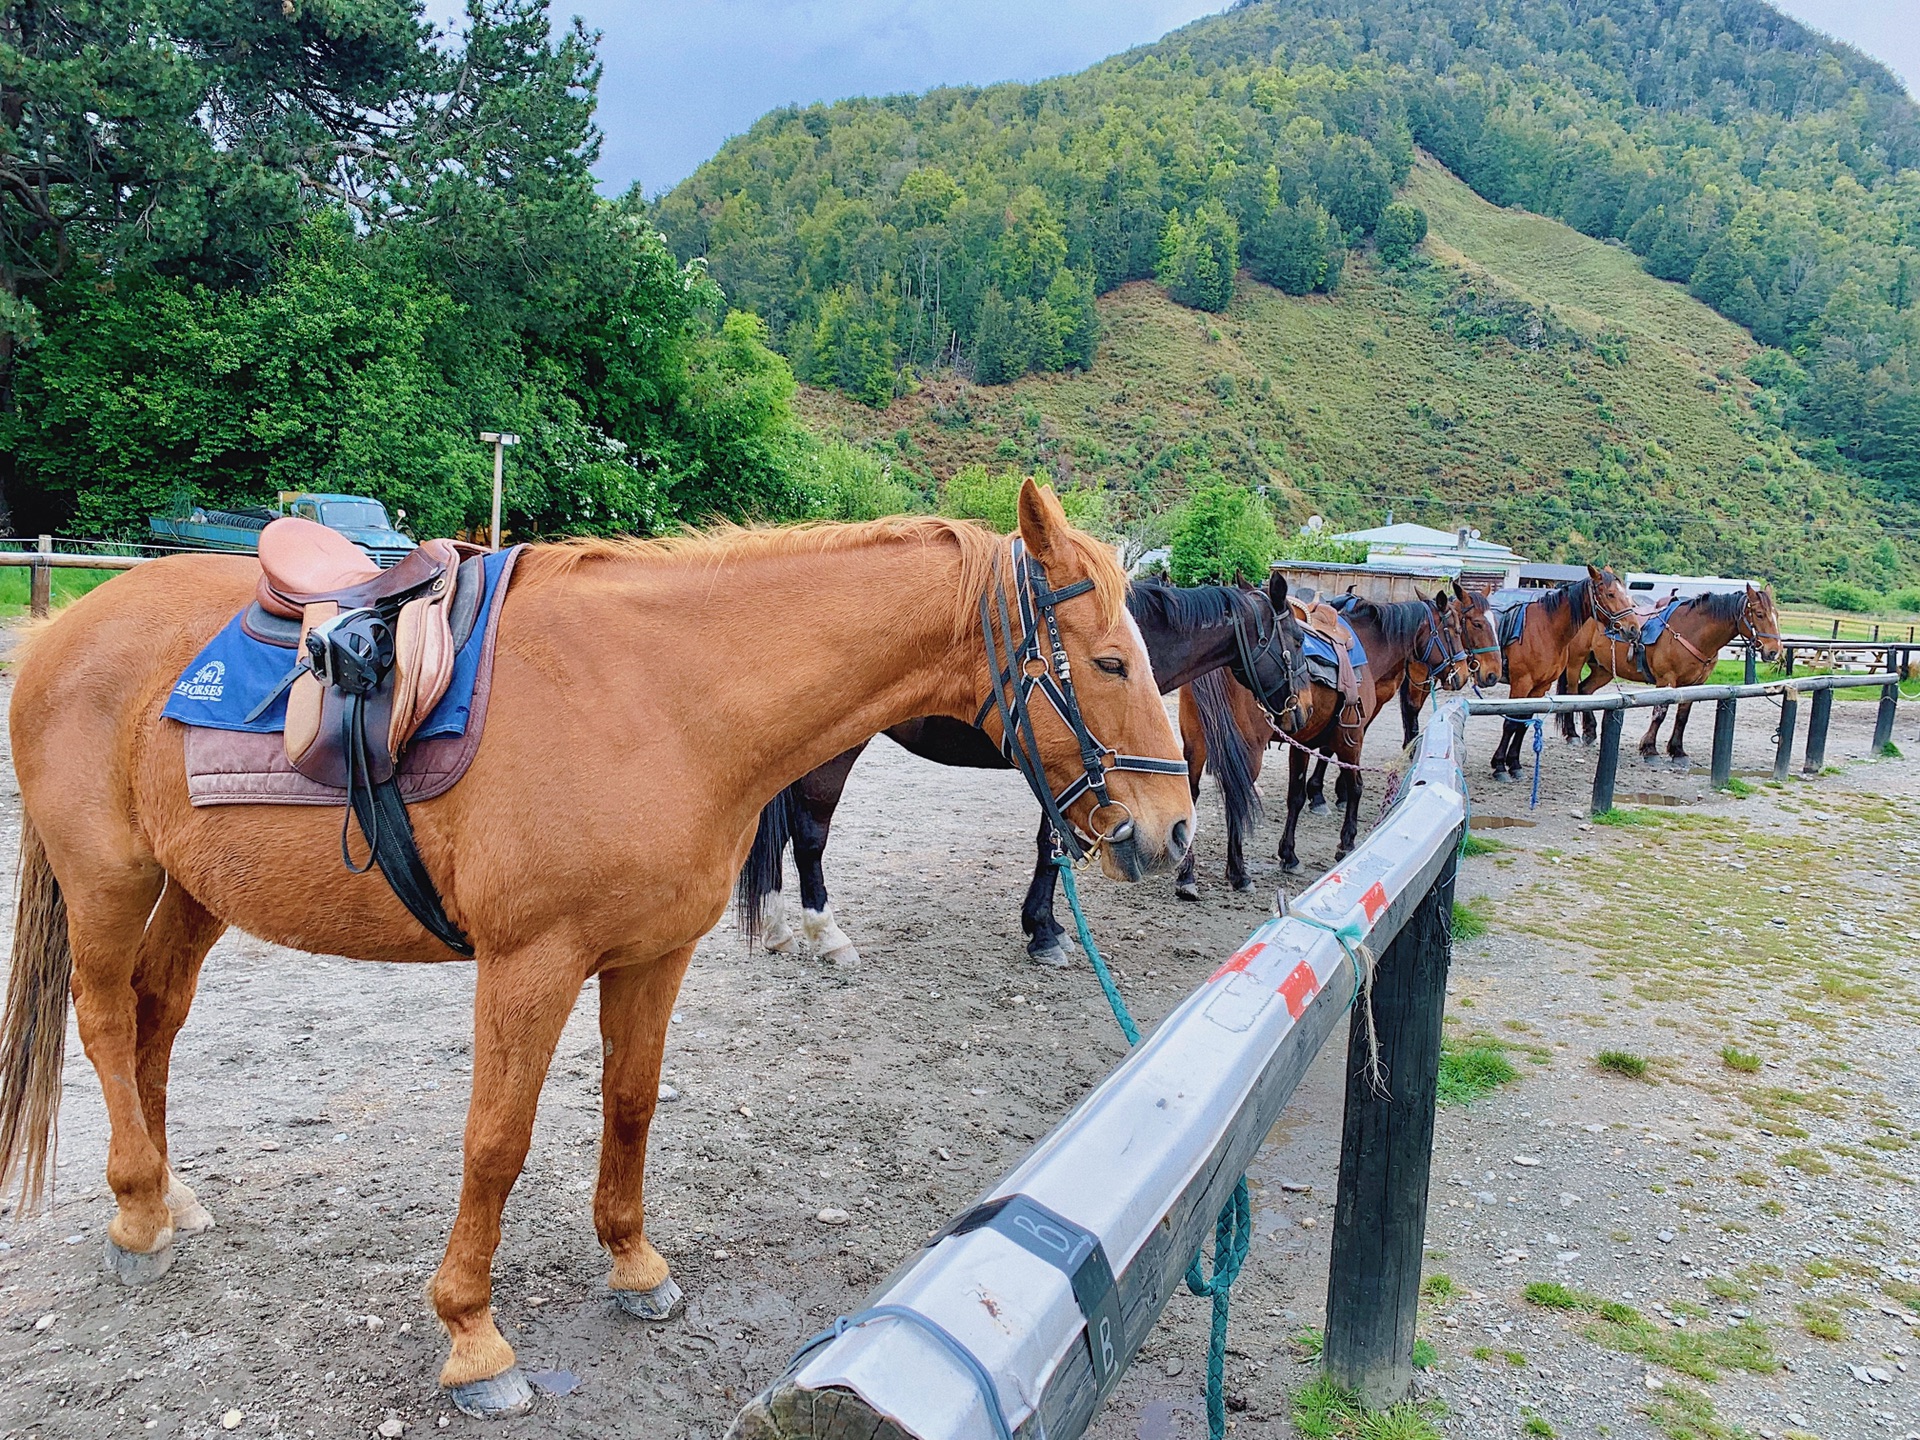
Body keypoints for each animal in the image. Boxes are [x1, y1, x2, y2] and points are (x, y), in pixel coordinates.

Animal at [0, 487, 1190, 1420]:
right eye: (1109, 660)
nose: (1173, 831)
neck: (664, 702)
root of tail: (60, 631)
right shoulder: (529, 964)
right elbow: (496, 1143)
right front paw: (473, 1339)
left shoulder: (652, 956)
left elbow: (631, 1105)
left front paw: (633, 1265)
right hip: (109, 882)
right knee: (105, 1019)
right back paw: (139, 1216)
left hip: (196, 892)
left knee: (156, 1018)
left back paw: (168, 1195)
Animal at [1167, 579, 1466, 887]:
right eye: (1455, 629)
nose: (1463, 672)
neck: (1368, 648)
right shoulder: (1351, 738)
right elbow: (1356, 786)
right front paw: (1346, 842)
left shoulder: (1302, 743)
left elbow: (1296, 796)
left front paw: (1289, 854)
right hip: (1248, 750)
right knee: (1236, 797)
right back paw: (1238, 872)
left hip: (1196, 744)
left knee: (1192, 795)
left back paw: (1187, 874)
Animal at [1482, 568, 1635, 783]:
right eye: (1610, 594)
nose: (1634, 628)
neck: (1544, 628)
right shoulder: (1521, 684)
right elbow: (1511, 723)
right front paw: (1499, 767)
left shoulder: (1540, 687)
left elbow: (1524, 723)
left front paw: (1514, 765)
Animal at [1559, 587, 1781, 768]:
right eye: (1759, 614)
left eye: (1776, 615)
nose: (1774, 651)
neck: (1693, 631)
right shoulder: (1666, 680)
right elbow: (1660, 713)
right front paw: (1649, 749)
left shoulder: (1694, 684)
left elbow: (1682, 717)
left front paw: (1678, 751)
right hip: (1575, 662)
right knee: (1572, 693)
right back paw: (1572, 734)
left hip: (1603, 668)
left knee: (1585, 691)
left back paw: (1589, 731)